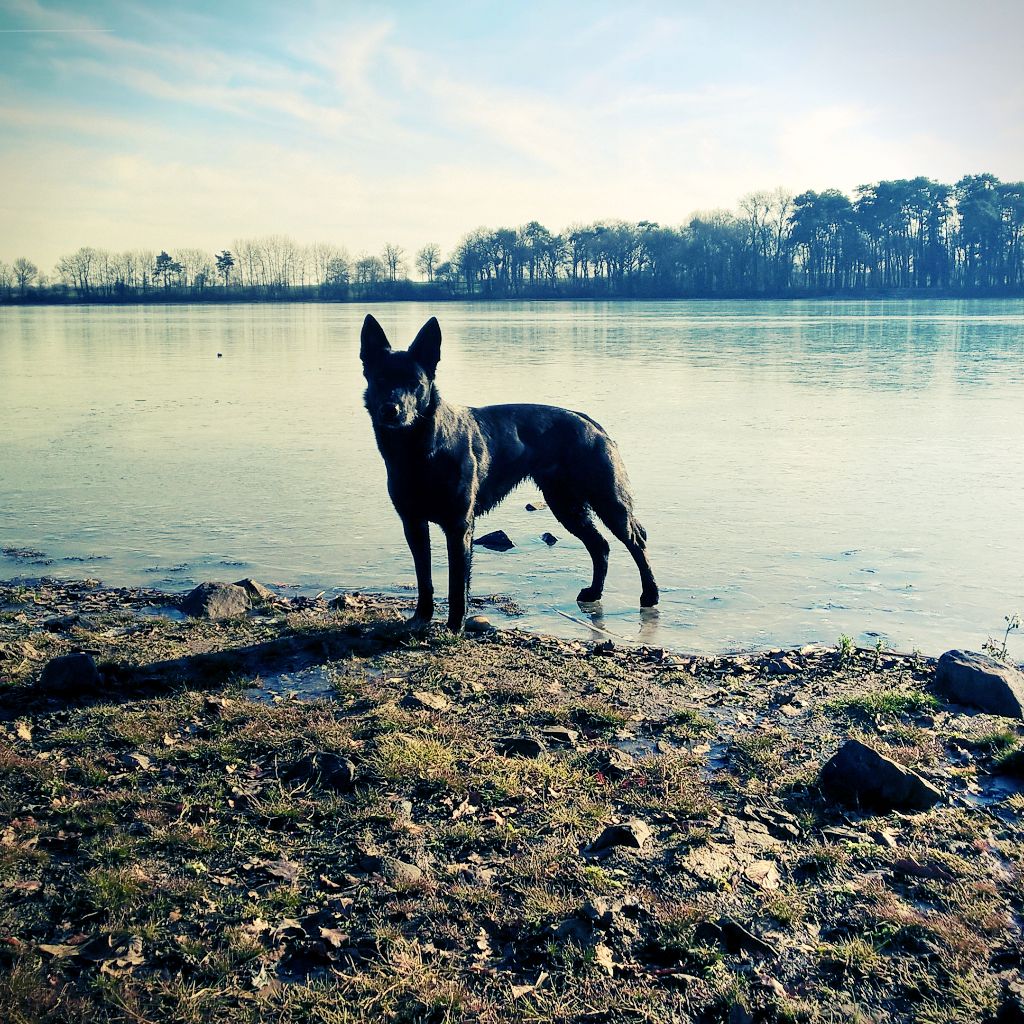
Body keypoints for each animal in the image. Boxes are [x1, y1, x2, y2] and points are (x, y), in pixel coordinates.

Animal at [360, 313, 659, 630]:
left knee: (636, 543)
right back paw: (594, 592)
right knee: (600, 546)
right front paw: (421, 619)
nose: (391, 410)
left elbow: (457, 585)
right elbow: (424, 578)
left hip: (608, 502)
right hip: (567, 507)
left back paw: (650, 595)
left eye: (414, 383)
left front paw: (455, 626)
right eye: (380, 379)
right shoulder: (414, 524)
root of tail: (592, 424)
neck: (420, 451)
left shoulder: (459, 526)